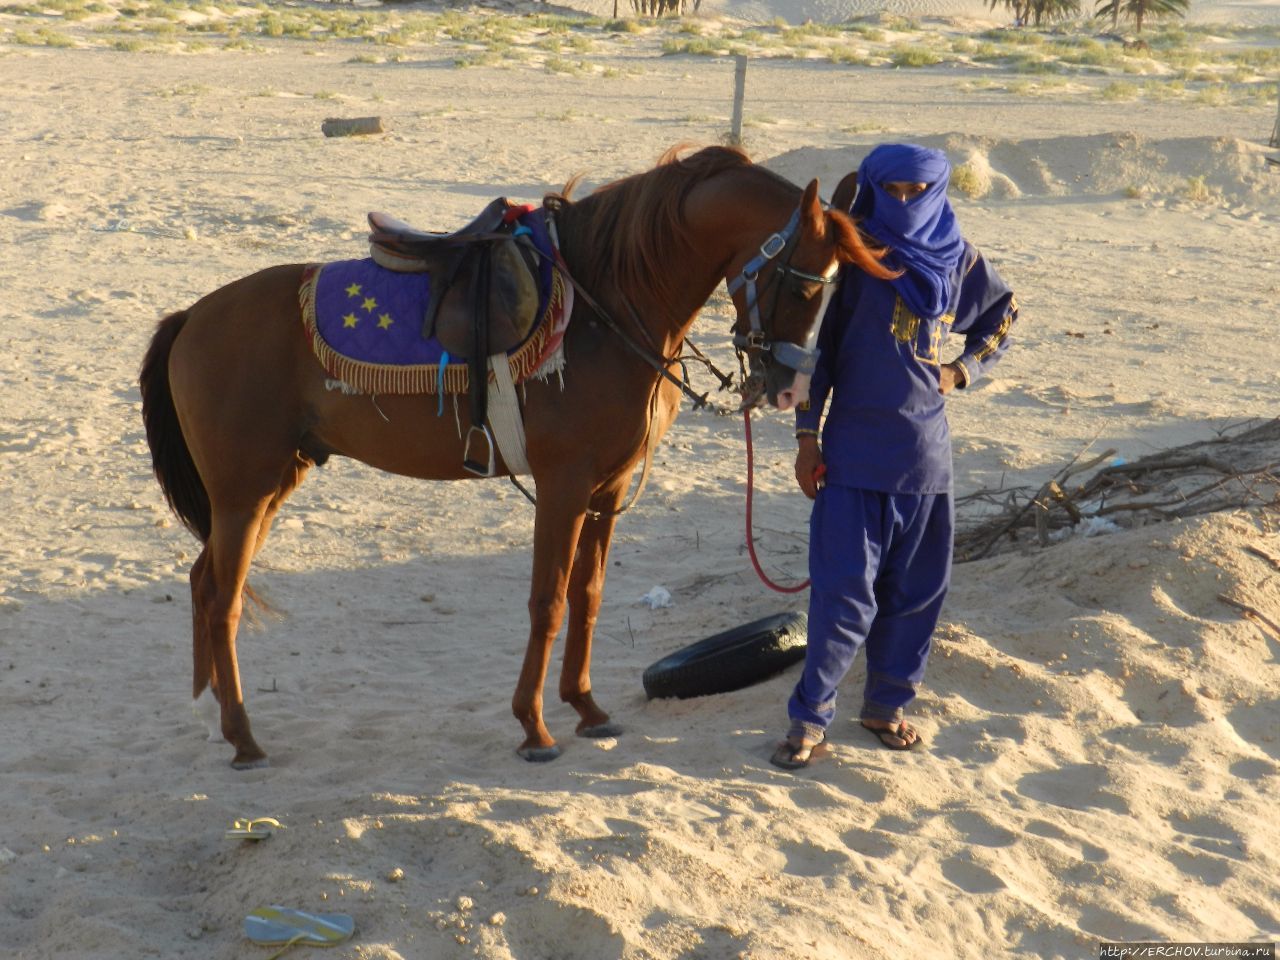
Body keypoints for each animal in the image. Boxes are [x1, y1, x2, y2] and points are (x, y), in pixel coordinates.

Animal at [135, 146, 885, 773]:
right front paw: (535, 727)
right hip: (245, 493)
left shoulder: (606, 490)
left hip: (270, 485)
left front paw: (586, 708)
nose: (787, 387)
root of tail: (191, 316)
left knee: (203, 583)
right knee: (224, 599)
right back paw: (242, 737)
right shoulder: (563, 485)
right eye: (807, 287)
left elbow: (588, 595)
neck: (607, 304)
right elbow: (547, 600)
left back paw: (210, 715)